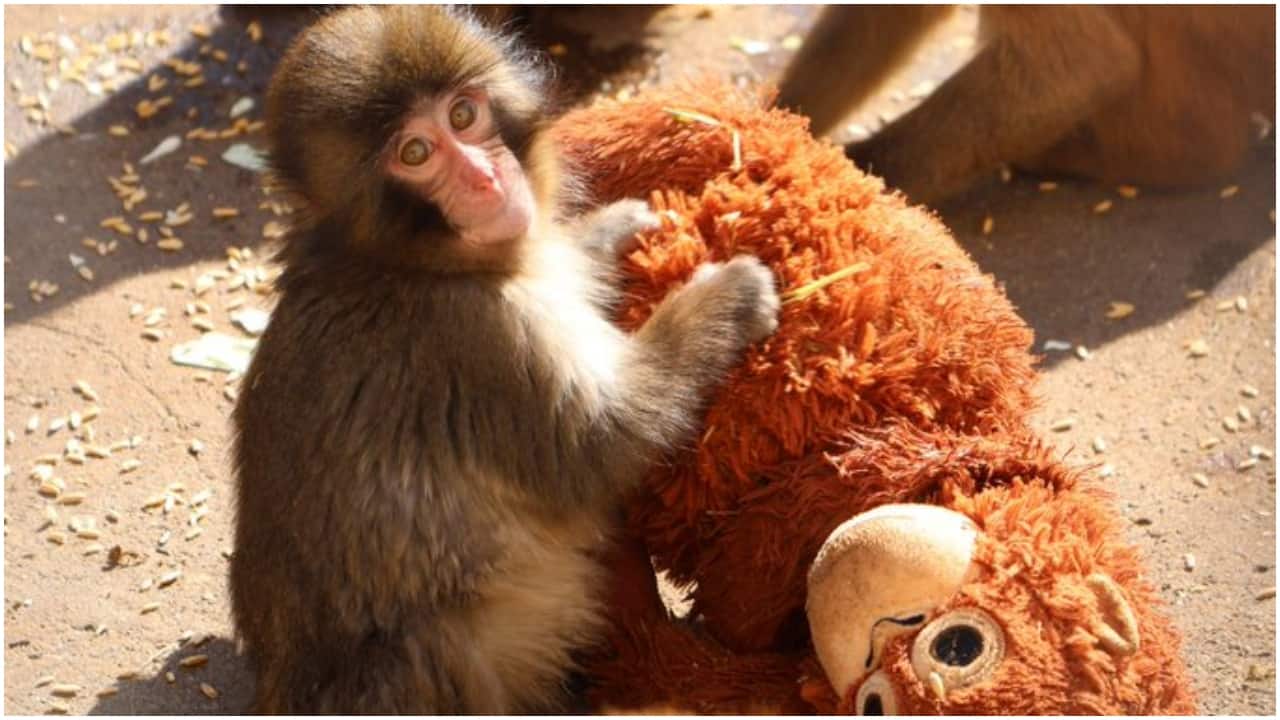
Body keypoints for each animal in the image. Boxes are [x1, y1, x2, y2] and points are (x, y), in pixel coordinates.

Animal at [229, 6, 780, 714]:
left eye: (463, 115)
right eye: (415, 153)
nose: (485, 180)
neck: (407, 262)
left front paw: (607, 232)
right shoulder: (477, 337)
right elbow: (601, 443)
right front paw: (727, 298)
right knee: (427, 643)